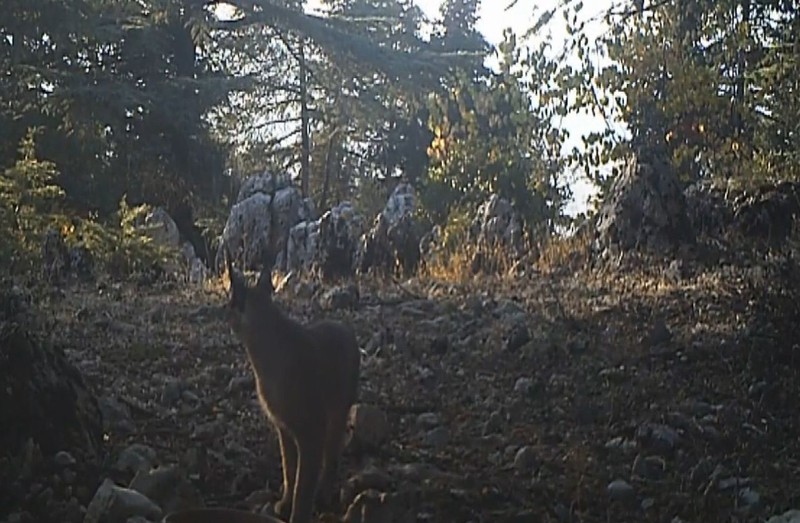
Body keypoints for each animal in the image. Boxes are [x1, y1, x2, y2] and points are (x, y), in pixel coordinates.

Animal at [225, 241, 362, 523]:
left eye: (231, 303)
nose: (224, 315)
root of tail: (343, 326)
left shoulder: (311, 428)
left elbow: (303, 481)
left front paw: (298, 512)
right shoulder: (284, 425)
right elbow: (289, 468)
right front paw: (284, 503)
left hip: (337, 411)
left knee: (332, 454)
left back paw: (324, 493)